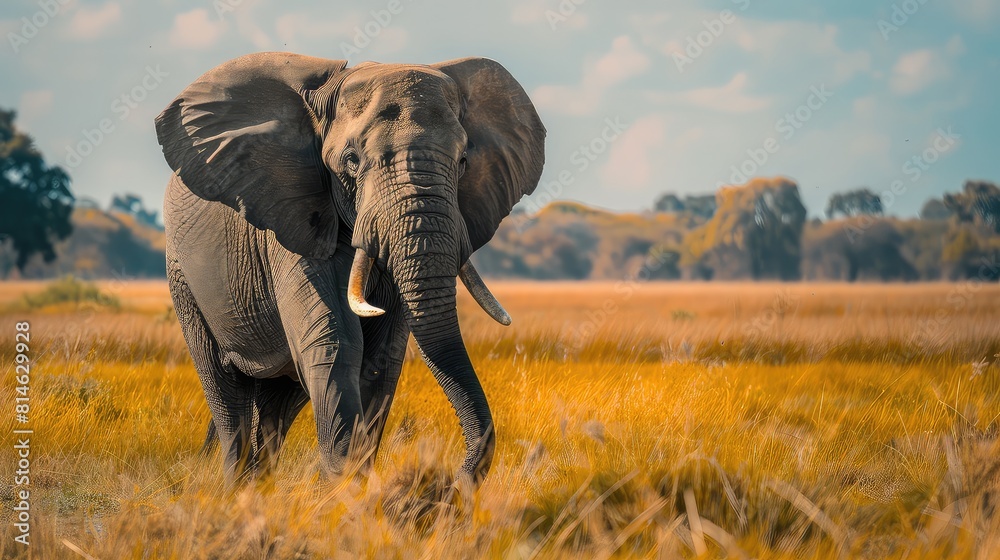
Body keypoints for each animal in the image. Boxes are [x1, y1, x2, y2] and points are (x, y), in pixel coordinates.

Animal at [154, 52, 545, 484]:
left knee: (275, 407)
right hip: (182, 277)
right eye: (352, 161)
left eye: (462, 162)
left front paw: (352, 486)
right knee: (227, 396)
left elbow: (380, 360)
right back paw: (237, 487)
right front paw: (346, 486)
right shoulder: (291, 220)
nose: (449, 482)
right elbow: (335, 341)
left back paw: (259, 487)